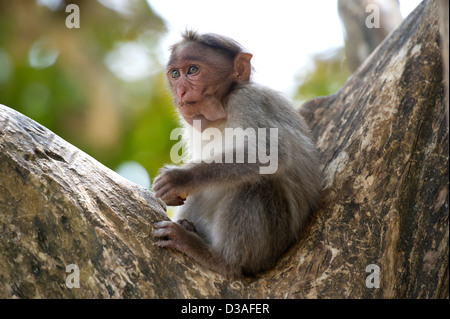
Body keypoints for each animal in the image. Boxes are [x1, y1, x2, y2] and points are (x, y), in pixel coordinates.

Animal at [153, 31, 322, 278]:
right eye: (175, 74)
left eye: (193, 70)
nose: (181, 91)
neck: (221, 110)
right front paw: (172, 194)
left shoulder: (248, 101)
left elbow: (270, 155)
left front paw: (179, 178)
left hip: (271, 246)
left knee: (254, 185)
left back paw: (221, 259)